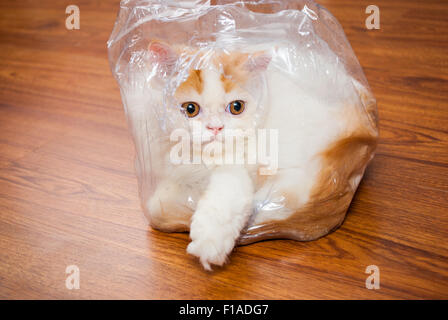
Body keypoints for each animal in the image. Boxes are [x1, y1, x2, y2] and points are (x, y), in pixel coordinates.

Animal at [123, 40, 378, 270]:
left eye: (236, 107)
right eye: (190, 109)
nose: (216, 128)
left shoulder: (238, 169)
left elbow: (220, 201)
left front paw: (209, 242)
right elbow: (158, 202)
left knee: (291, 197)